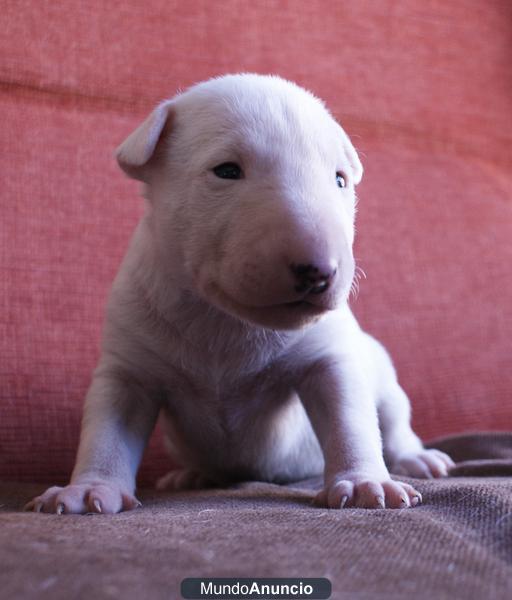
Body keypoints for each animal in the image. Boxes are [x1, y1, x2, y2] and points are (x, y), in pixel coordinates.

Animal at [26, 74, 454, 516]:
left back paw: (417, 459)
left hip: (383, 374)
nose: (319, 271)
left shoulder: (328, 359)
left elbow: (348, 419)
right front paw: (88, 490)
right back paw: (192, 475)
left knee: (394, 420)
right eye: (227, 170)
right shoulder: (129, 368)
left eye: (340, 180)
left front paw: (364, 483)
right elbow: (109, 429)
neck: (225, 319)